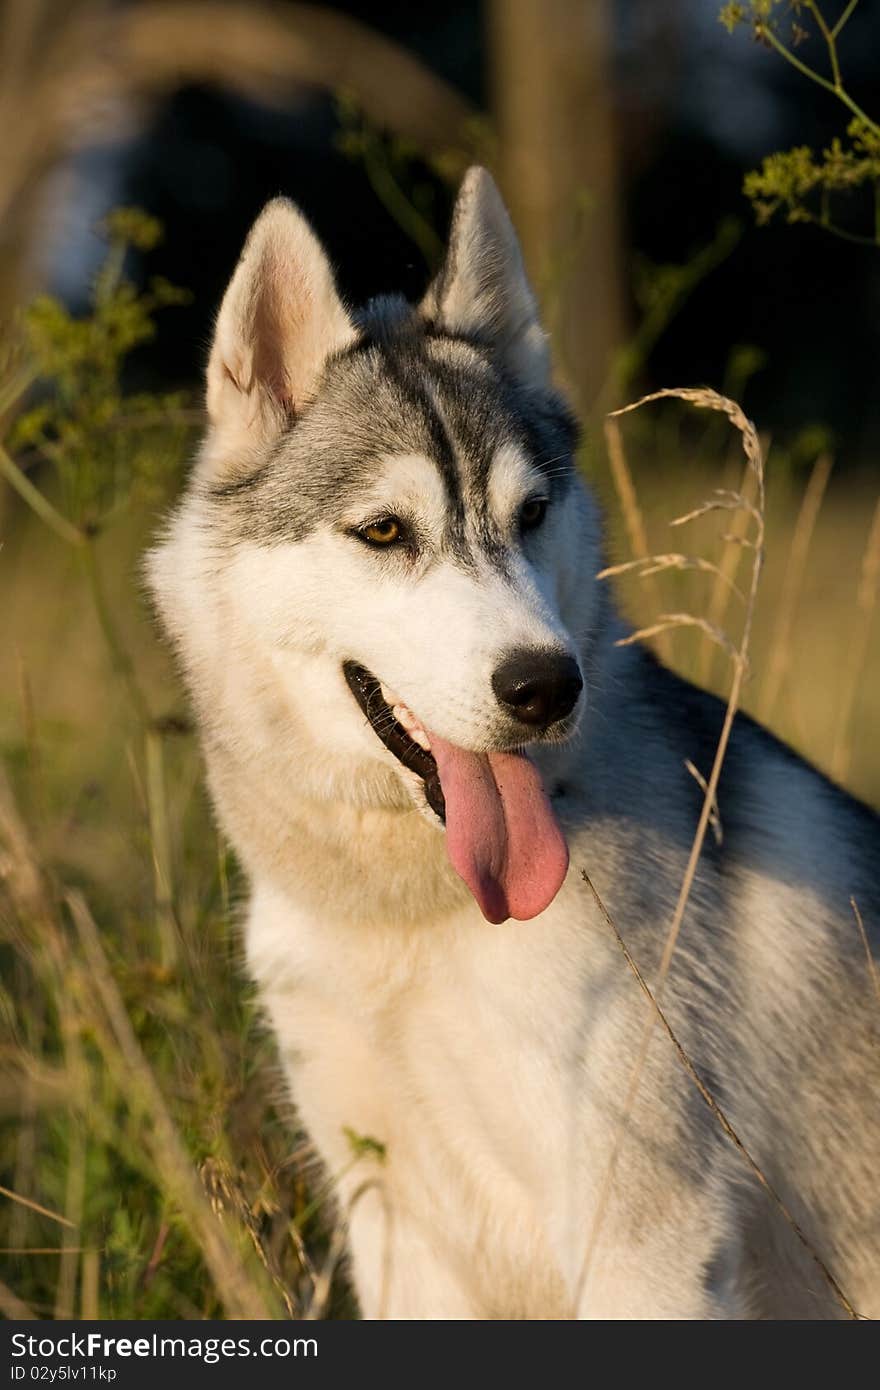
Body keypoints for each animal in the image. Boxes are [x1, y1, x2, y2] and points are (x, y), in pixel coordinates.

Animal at [145, 168, 878, 1317]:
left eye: (531, 513)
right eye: (384, 531)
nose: (546, 687)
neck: (406, 918)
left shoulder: (646, 1246)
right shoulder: (395, 1230)